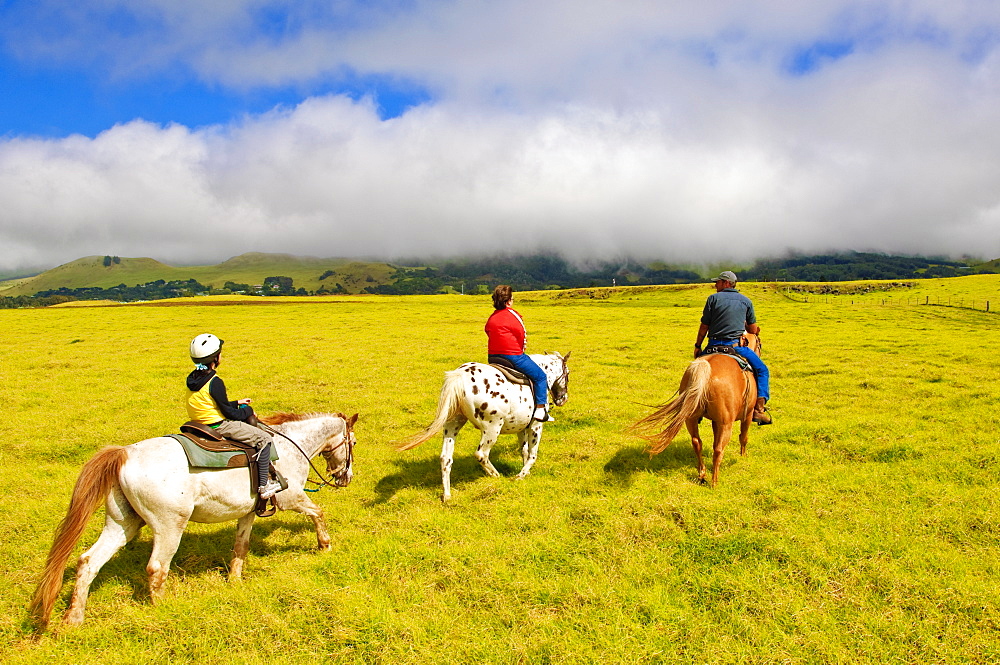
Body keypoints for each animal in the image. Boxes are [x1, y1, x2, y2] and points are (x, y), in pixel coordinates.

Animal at [398, 352, 572, 498]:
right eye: (568, 374)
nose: (563, 399)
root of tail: (460, 375)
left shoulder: (521, 428)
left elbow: (524, 451)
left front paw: (525, 472)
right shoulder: (536, 425)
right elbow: (532, 454)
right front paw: (521, 476)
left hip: (452, 424)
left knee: (445, 457)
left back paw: (447, 495)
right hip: (492, 428)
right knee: (481, 454)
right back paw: (496, 475)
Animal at [636, 334, 760, 486]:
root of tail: (704, 369)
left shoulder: (715, 420)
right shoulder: (747, 414)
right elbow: (743, 437)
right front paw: (743, 456)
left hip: (691, 418)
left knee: (696, 442)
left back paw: (702, 474)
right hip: (726, 423)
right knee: (719, 449)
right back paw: (714, 482)